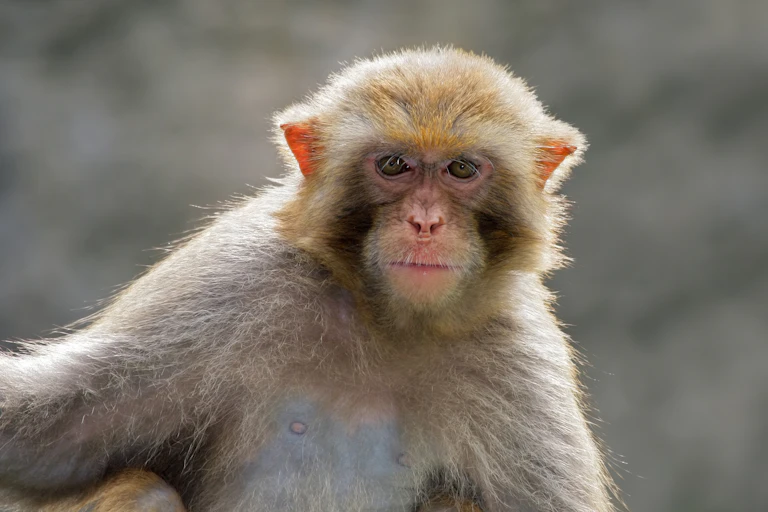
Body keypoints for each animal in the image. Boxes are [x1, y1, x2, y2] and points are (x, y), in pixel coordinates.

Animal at [0, 47, 617, 512]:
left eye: (461, 169)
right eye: (394, 165)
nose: (425, 222)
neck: (388, 325)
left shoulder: (520, 361)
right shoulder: (229, 287)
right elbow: (46, 440)